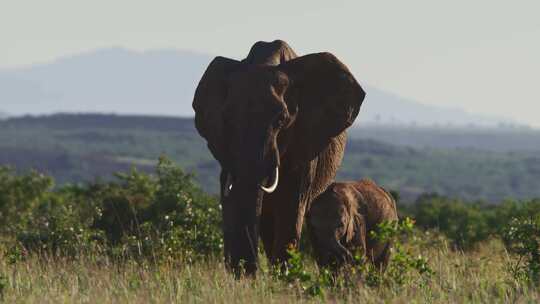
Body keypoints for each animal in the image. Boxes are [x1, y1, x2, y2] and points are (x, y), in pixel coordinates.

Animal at [192, 39, 364, 274]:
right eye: (226, 119)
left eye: (281, 120)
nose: (249, 270)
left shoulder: (304, 141)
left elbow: (291, 206)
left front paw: (283, 276)